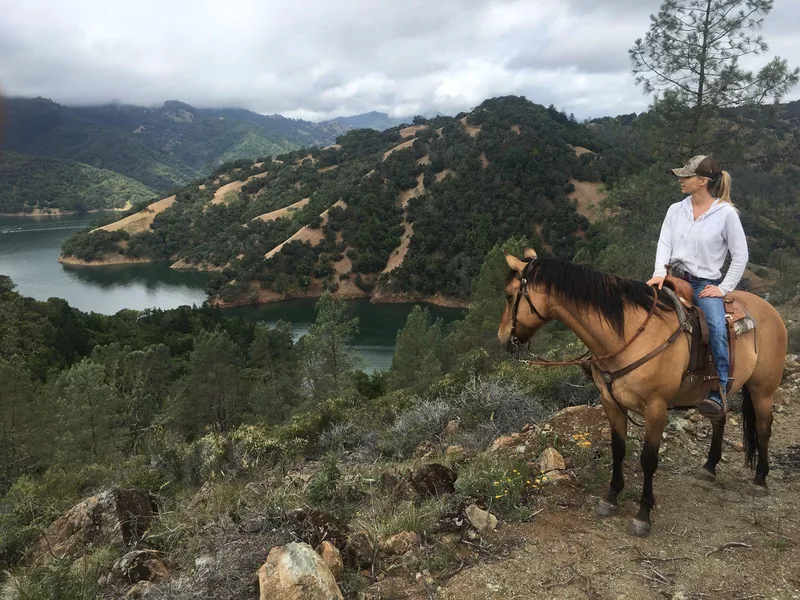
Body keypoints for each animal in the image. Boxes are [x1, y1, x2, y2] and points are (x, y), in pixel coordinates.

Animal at [496, 246, 784, 536]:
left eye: (509, 295)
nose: (501, 338)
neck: (627, 335)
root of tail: (768, 308)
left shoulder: (656, 408)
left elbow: (648, 459)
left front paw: (643, 514)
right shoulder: (610, 402)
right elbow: (618, 449)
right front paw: (611, 498)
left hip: (762, 390)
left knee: (764, 427)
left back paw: (760, 479)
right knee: (719, 419)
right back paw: (709, 467)